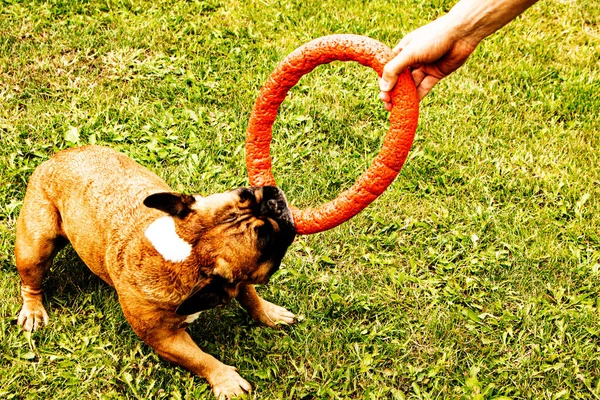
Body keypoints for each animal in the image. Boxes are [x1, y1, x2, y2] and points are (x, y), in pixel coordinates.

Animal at [17, 145, 298, 398]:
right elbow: (200, 359)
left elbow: (251, 298)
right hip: (35, 248)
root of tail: (56, 157)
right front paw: (226, 379)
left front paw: (269, 314)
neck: (184, 255)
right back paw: (33, 311)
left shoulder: (236, 281)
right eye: (265, 239)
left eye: (245, 191)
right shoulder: (165, 339)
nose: (273, 199)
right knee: (31, 282)